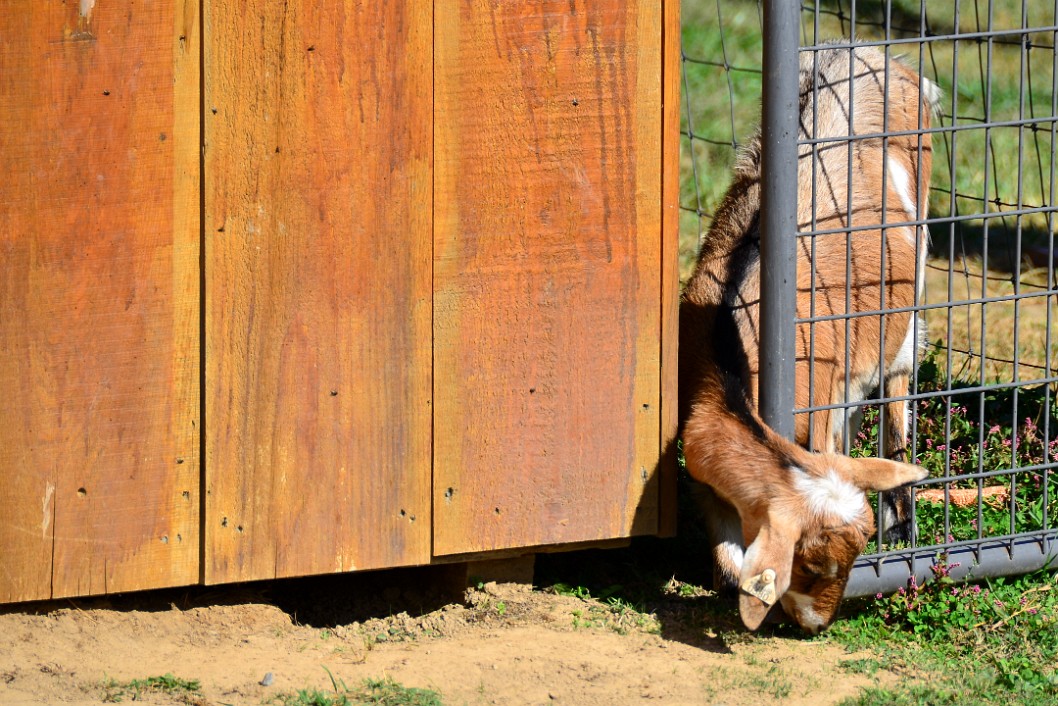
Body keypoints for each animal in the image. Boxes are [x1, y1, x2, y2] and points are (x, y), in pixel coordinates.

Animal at [677, 45, 935, 635]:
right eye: (816, 562)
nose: (821, 625)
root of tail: (869, 53)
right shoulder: (708, 479)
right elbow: (730, 557)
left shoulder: (816, 410)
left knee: (897, 384)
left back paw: (904, 522)